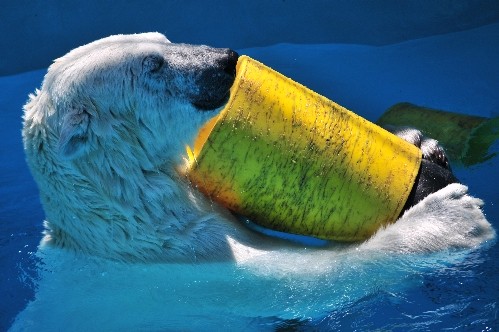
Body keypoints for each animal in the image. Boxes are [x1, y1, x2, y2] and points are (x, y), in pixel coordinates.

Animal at [22, 32, 496, 264]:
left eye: (163, 39)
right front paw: (450, 215)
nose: (226, 60)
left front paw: (424, 144)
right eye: (153, 65)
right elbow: (317, 273)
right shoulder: (200, 256)